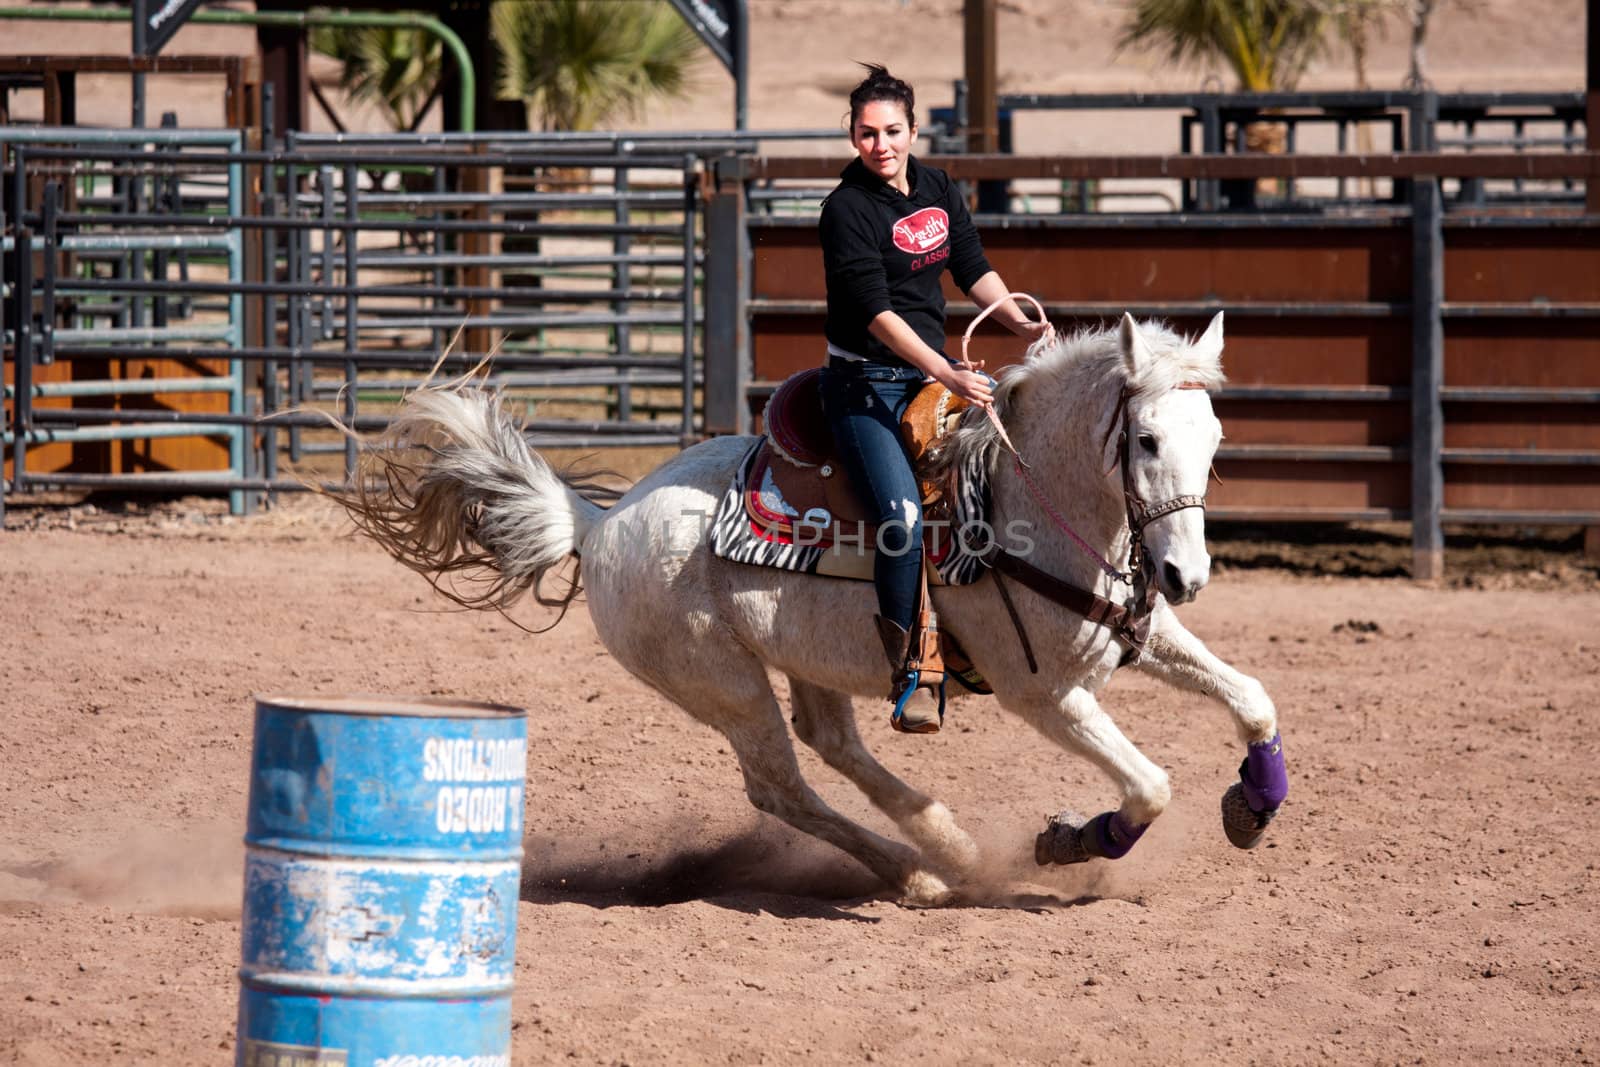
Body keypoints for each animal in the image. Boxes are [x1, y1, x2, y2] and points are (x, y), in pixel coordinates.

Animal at [337, 313, 1286, 908]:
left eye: (1214, 440)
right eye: (1147, 439)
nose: (1185, 571)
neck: (1027, 499)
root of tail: (601, 522)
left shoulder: (1143, 634)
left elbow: (1253, 699)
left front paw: (1252, 806)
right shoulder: (1044, 694)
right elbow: (1150, 784)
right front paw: (1070, 842)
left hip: (812, 658)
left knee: (836, 745)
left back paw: (945, 843)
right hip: (722, 684)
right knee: (782, 786)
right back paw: (922, 871)